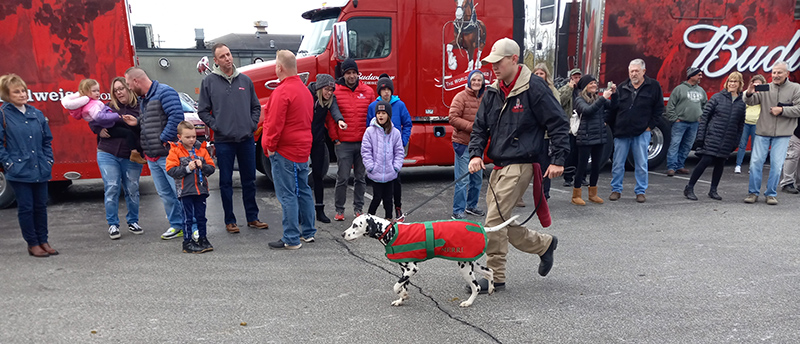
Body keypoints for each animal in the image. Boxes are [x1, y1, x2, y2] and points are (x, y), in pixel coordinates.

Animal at [342, 214, 520, 308]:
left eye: (355, 225)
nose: (343, 234)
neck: (390, 231)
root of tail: (481, 227)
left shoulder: (411, 269)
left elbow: (395, 286)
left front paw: (402, 295)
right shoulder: (405, 271)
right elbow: (402, 286)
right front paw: (402, 298)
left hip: (464, 268)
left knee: (476, 286)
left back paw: (468, 303)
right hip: (470, 264)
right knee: (489, 271)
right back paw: (490, 289)